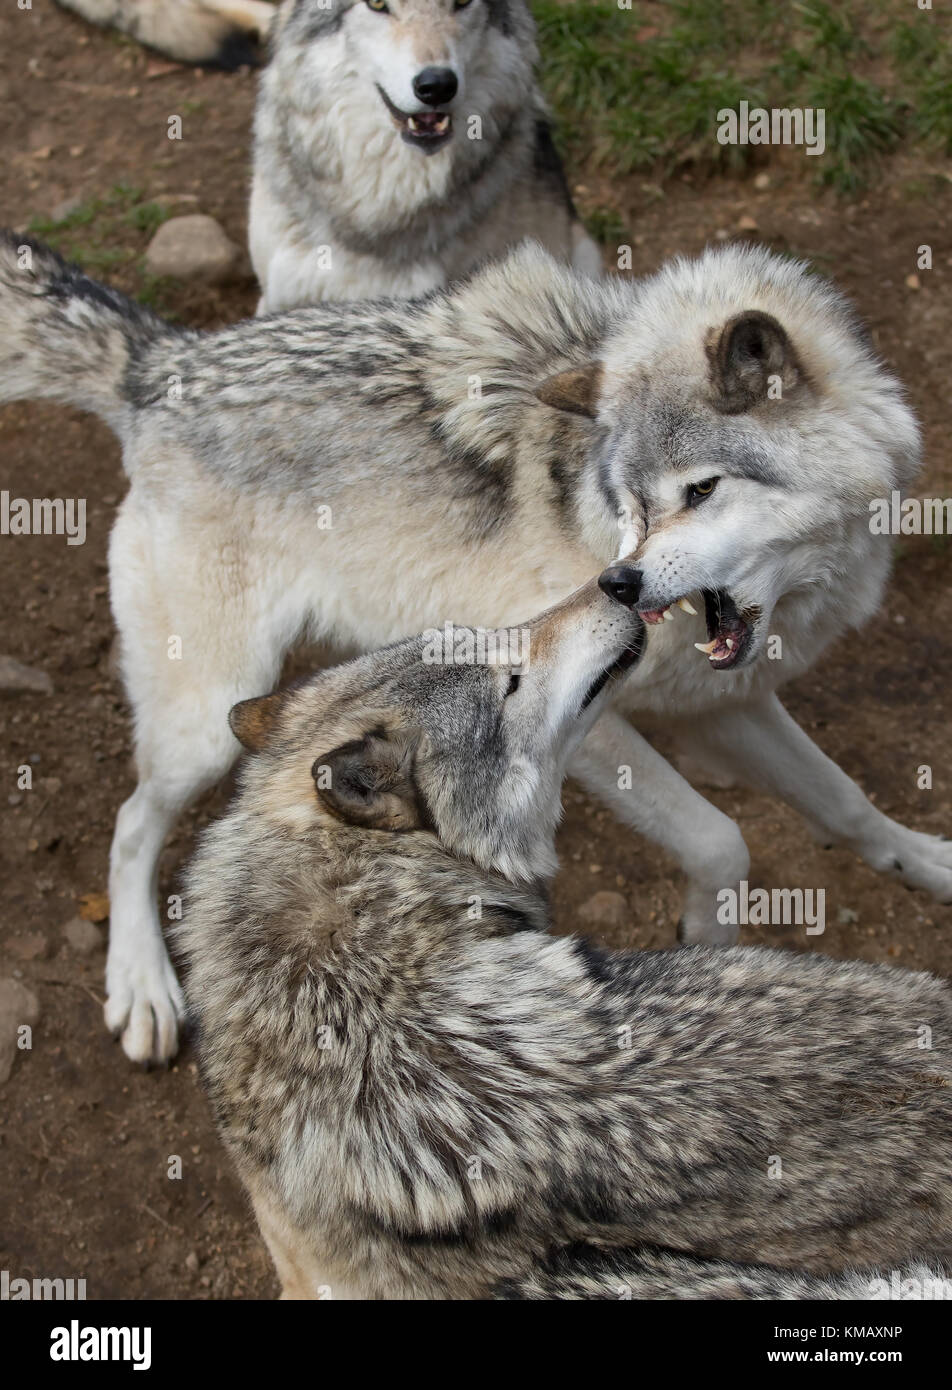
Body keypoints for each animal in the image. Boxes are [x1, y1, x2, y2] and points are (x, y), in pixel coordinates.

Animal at [0, 230, 945, 1061]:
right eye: (634, 504)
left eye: (701, 491)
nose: (619, 585)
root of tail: (160, 365)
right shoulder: (586, 720)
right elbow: (721, 838)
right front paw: (709, 932)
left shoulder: (725, 702)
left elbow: (844, 801)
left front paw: (928, 863)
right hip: (204, 722)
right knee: (131, 825)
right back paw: (143, 991)